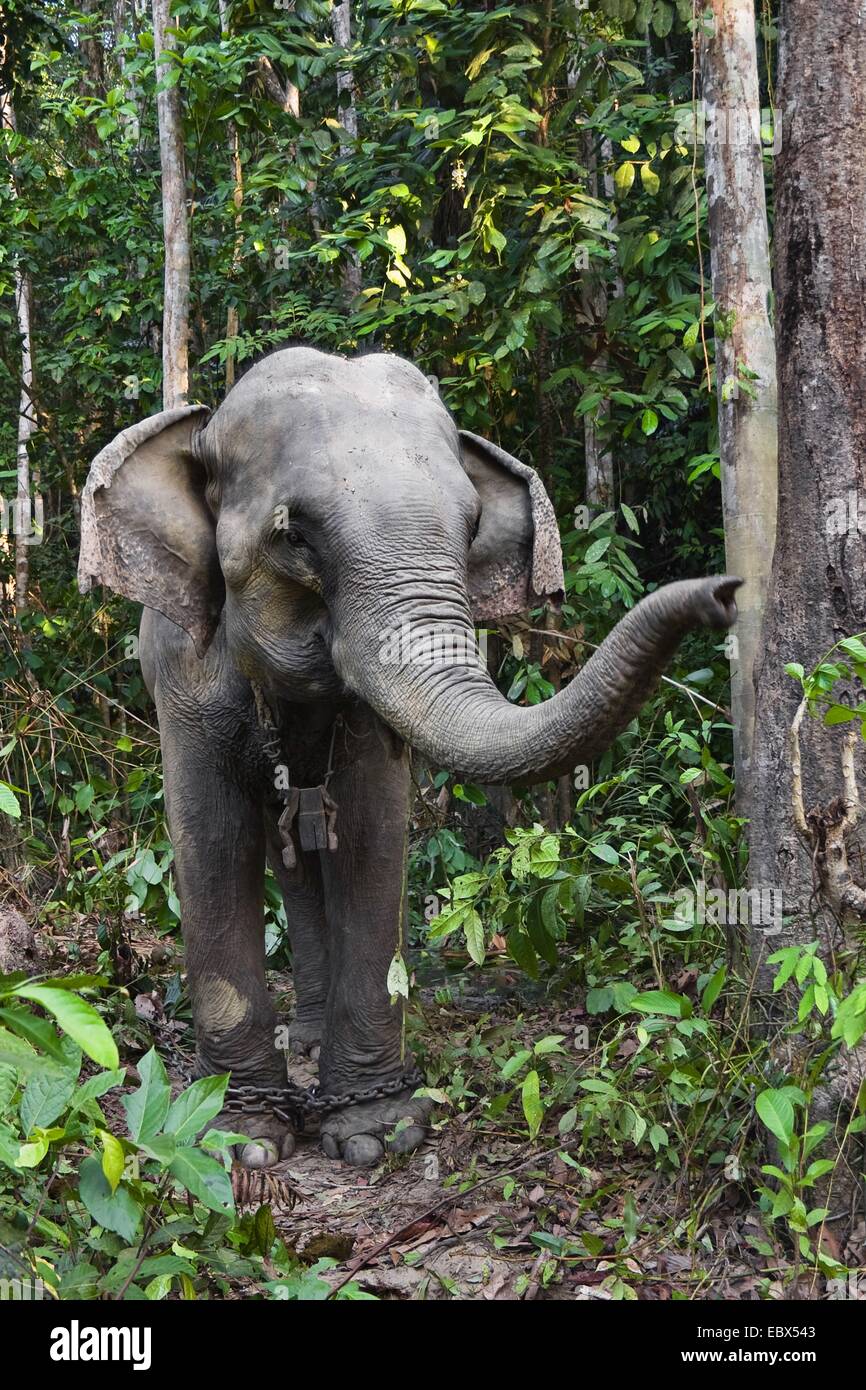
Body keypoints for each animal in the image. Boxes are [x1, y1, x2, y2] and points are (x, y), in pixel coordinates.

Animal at [78, 346, 740, 1168]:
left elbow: (371, 835)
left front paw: (373, 1134)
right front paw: (241, 1140)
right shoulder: (182, 674)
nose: (724, 591)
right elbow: (212, 840)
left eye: (472, 523)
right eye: (295, 535)